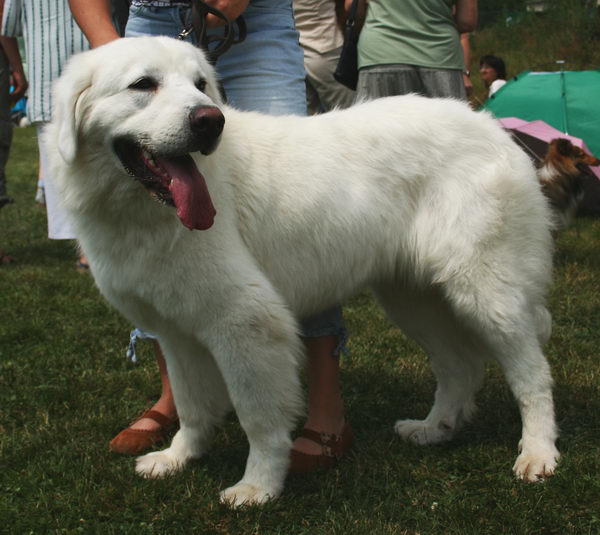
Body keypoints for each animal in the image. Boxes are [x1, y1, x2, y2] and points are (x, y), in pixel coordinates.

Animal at [45, 36, 556, 506]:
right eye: (143, 85)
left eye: (200, 85)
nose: (210, 121)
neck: (143, 212)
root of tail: (491, 127)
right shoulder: (178, 333)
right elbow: (191, 406)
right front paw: (179, 457)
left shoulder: (247, 322)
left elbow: (259, 418)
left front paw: (259, 486)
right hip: (413, 299)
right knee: (459, 366)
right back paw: (435, 428)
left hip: (487, 294)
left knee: (532, 375)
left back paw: (538, 454)